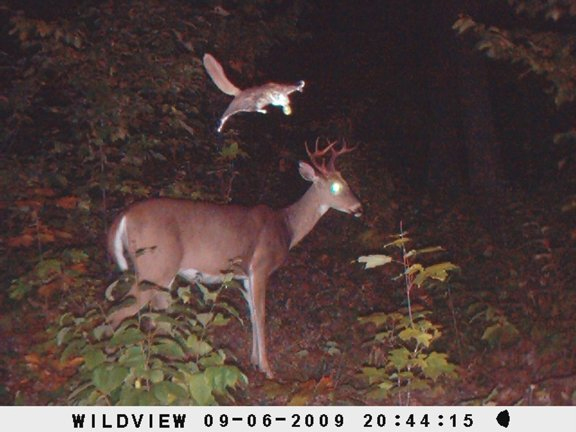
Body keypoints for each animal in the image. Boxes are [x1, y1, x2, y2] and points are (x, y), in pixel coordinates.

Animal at [106, 139, 362, 378]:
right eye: (335, 187)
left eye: (347, 181)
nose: (359, 207)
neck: (286, 227)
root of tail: (124, 216)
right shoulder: (260, 267)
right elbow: (261, 314)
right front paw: (267, 369)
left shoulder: (244, 276)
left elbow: (251, 313)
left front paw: (254, 360)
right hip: (155, 266)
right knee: (119, 313)